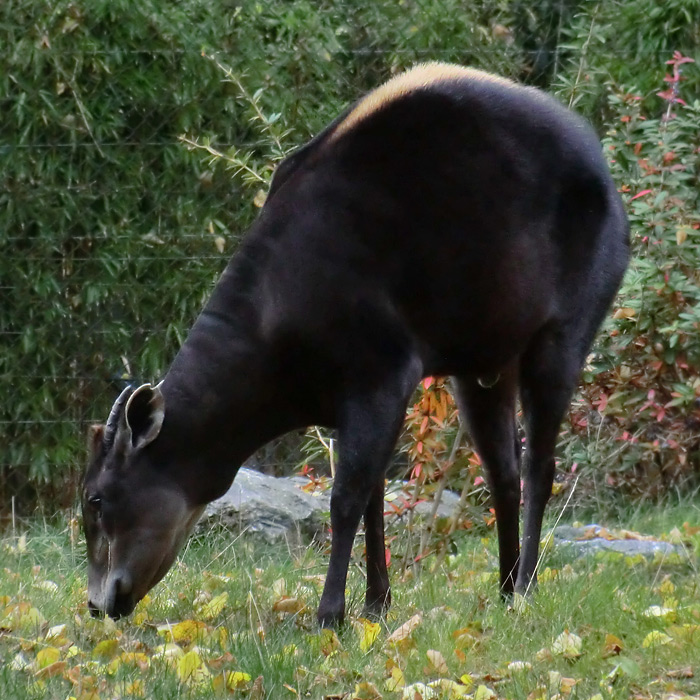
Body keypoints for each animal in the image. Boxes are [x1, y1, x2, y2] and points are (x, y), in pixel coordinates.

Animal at [82, 63, 628, 628]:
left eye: (95, 499)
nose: (97, 602)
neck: (279, 305)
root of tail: (603, 173)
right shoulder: (353, 402)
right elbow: (373, 497)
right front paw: (374, 603)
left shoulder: (381, 379)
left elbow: (346, 498)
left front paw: (330, 613)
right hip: (484, 368)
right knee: (505, 471)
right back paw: (502, 589)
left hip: (561, 341)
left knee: (540, 468)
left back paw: (524, 587)